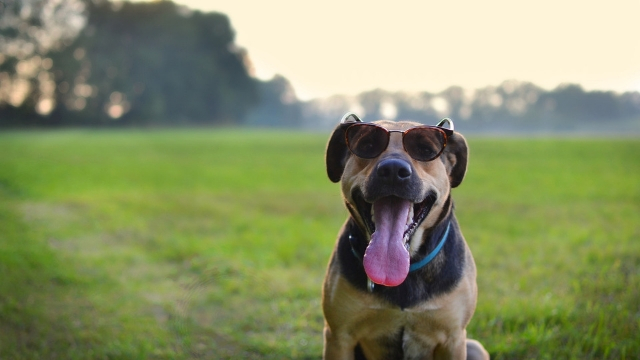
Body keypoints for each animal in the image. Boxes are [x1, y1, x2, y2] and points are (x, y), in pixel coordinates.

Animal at [322, 113, 488, 360]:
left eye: (425, 150)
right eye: (367, 146)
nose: (393, 170)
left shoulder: (454, 338)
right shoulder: (338, 336)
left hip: (474, 347)